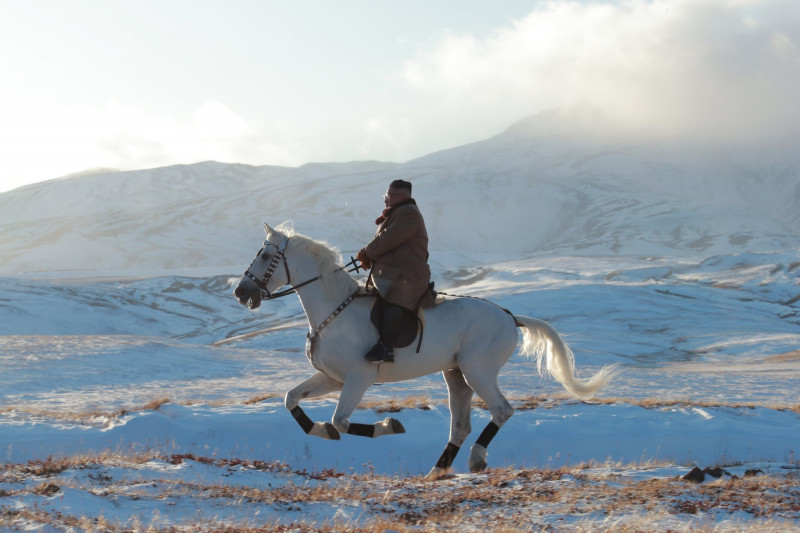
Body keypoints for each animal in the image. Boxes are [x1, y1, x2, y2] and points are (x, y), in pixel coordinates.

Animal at [233, 222, 620, 476]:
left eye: (265, 254)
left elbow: (341, 421)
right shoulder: (331, 377)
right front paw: (321, 431)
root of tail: (510, 317)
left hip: (478, 370)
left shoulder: (358, 379)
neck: (334, 310)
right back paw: (437, 470)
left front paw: (390, 425)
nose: (240, 292)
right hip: (456, 374)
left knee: (502, 410)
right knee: (460, 425)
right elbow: (292, 400)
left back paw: (476, 459)